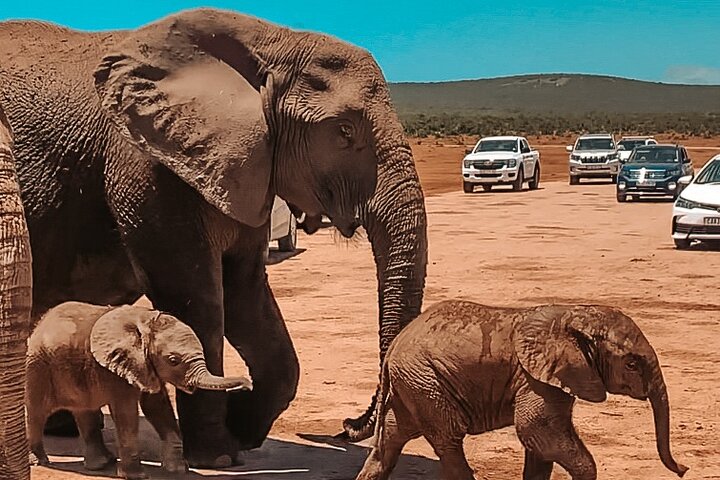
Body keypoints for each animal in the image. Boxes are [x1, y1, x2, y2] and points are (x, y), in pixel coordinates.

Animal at [26, 301, 253, 479]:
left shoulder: (145, 366)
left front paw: (179, 469)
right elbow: (126, 412)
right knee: (37, 413)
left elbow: (157, 406)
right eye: (173, 360)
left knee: (85, 412)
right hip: (37, 366)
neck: (145, 323)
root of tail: (39, 325)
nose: (248, 385)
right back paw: (39, 461)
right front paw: (137, 476)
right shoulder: (116, 367)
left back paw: (102, 463)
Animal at [356, 300, 688, 480]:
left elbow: (540, 445)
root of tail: (395, 345)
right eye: (632, 364)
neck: (571, 314)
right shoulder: (535, 378)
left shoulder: (554, 378)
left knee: (390, 442)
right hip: (425, 381)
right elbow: (536, 430)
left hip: (414, 385)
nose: (684, 469)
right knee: (448, 440)